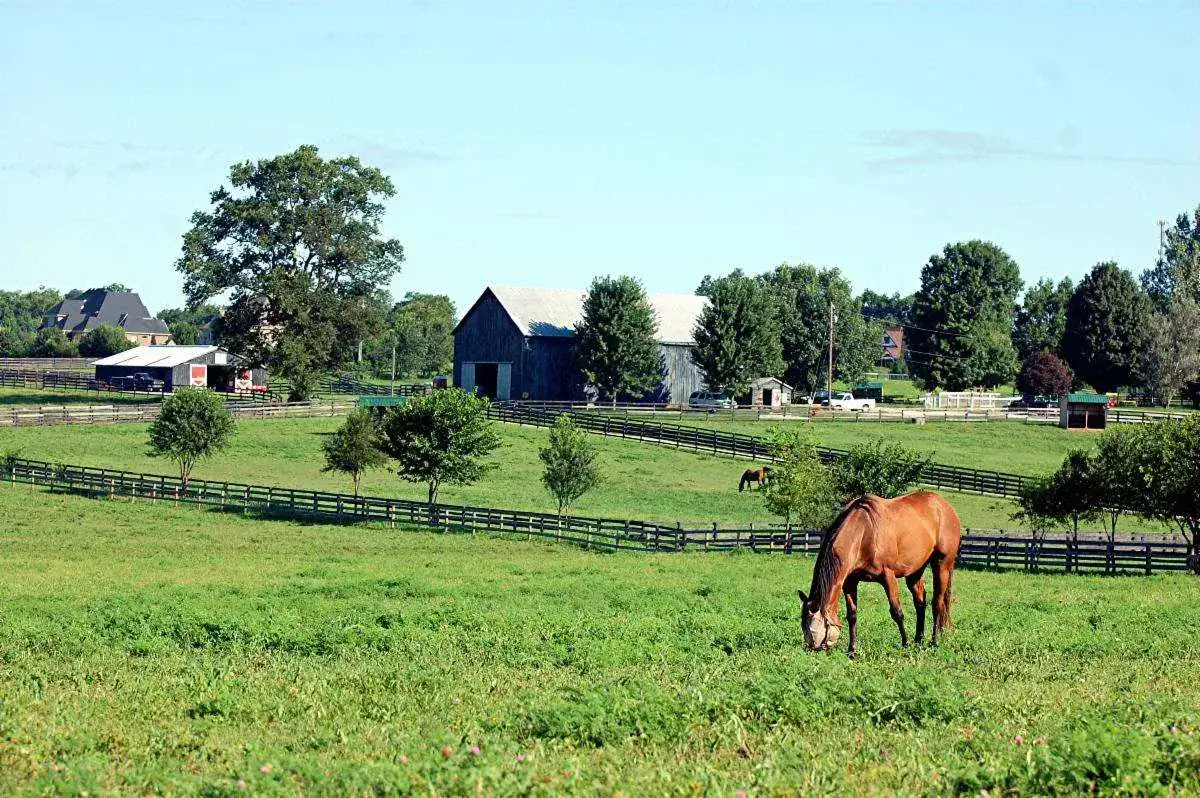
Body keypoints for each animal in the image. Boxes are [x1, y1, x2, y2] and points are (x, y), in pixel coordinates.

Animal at [797, 491, 960, 658]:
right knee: (920, 602)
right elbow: (852, 615)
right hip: (915, 571)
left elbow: (897, 612)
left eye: (811, 630)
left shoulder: (888, 576)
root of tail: (945, 506)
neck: (865, 532)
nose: (809, 651)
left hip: (942, 565)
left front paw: (906, 644)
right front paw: (852, 651)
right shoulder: (850, 582)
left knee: (937, 603)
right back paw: (918, 640)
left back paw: (933, 642)